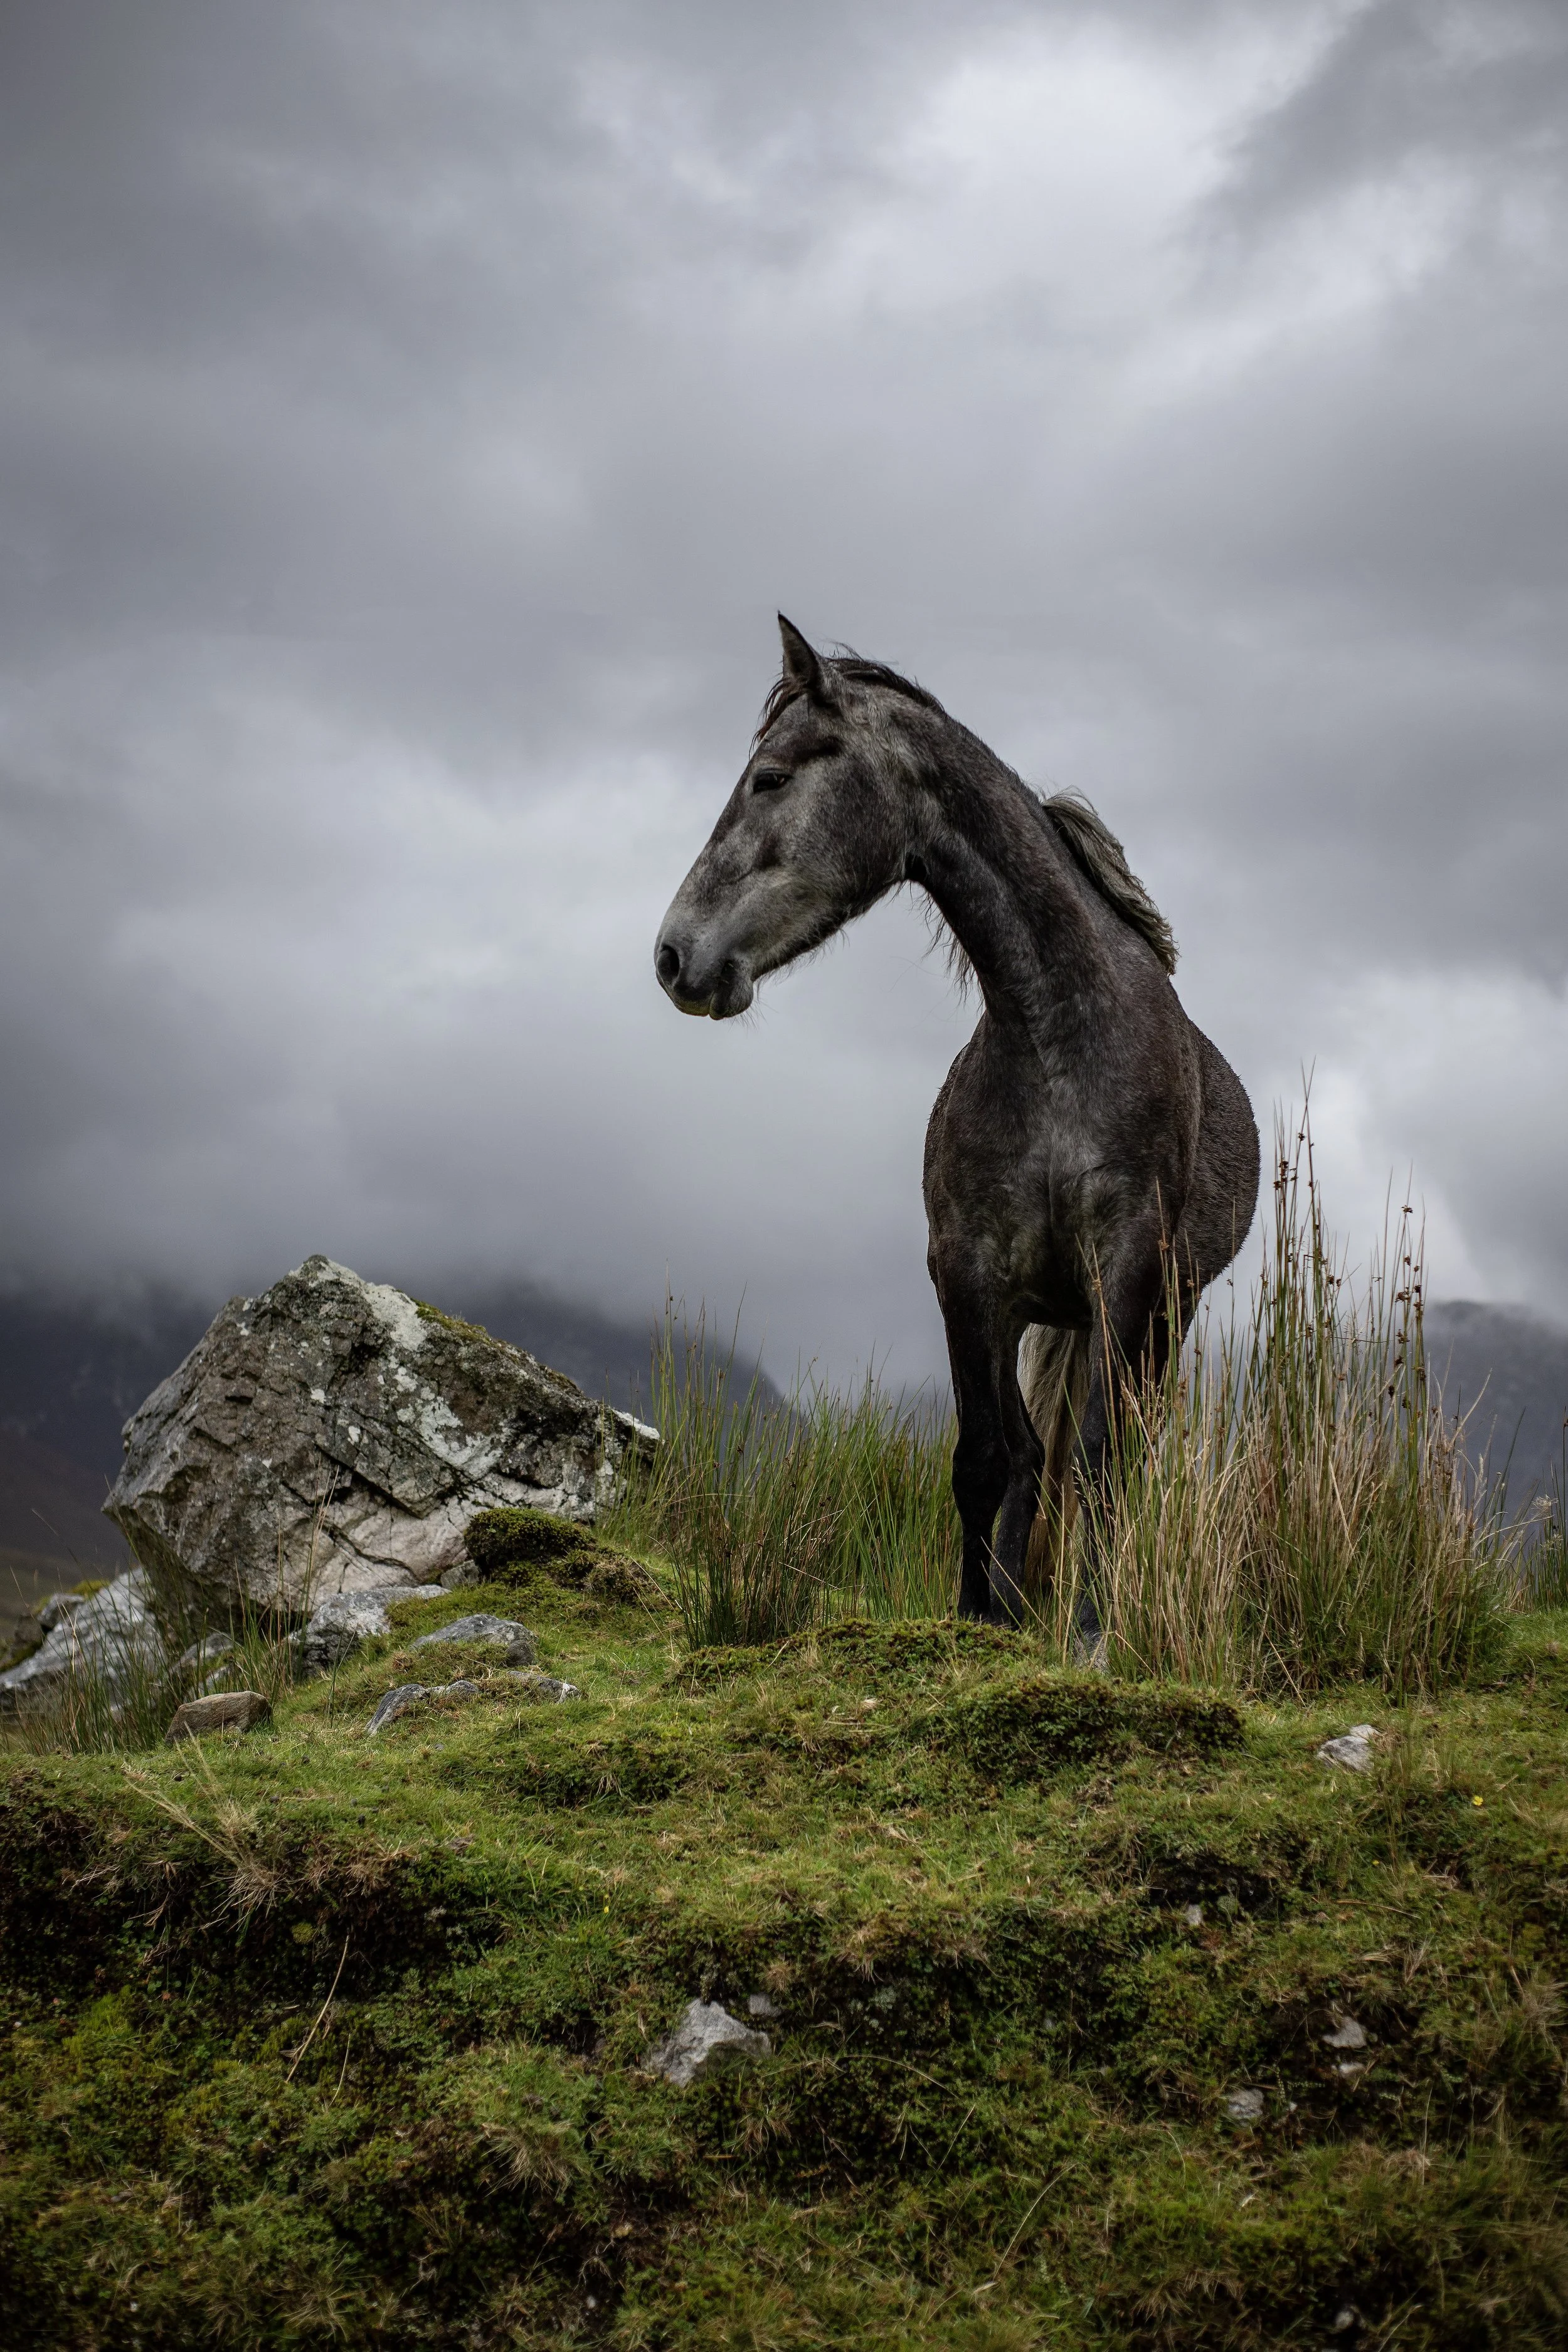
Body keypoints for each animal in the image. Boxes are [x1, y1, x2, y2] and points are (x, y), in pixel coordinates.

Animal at [654, 617, 1260, 1633]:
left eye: (769, 778)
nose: (672, 957)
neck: (1056, 1039)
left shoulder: (1128, 1268)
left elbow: (1098, 1463)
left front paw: (1091, 1634)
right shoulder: (968, 1272)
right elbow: (986, 1460)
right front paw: (979, 1617)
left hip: (1156, 1320)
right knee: (1027, 1458)